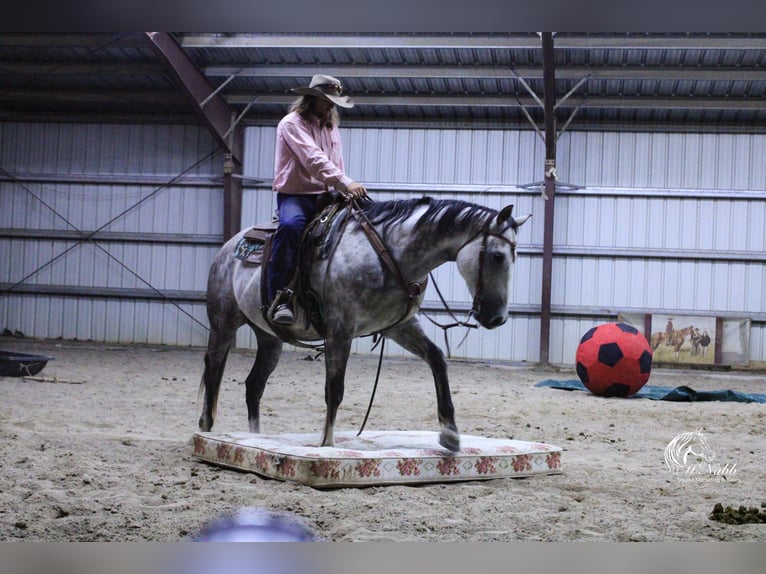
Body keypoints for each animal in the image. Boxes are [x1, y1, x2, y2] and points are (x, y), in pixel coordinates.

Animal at [198, 199, 532, 454]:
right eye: (497, 256)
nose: (497, 318)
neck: (389, 254)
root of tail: (229, 247)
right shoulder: (340, 331)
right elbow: (335, 388)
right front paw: (327, 443)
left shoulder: (400, 326)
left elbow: (437, 359)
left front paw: (450, 434)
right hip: (223, 323)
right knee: (213, 371)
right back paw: (206, 428)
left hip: (270, 340)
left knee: (254, 385)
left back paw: (255, 437)